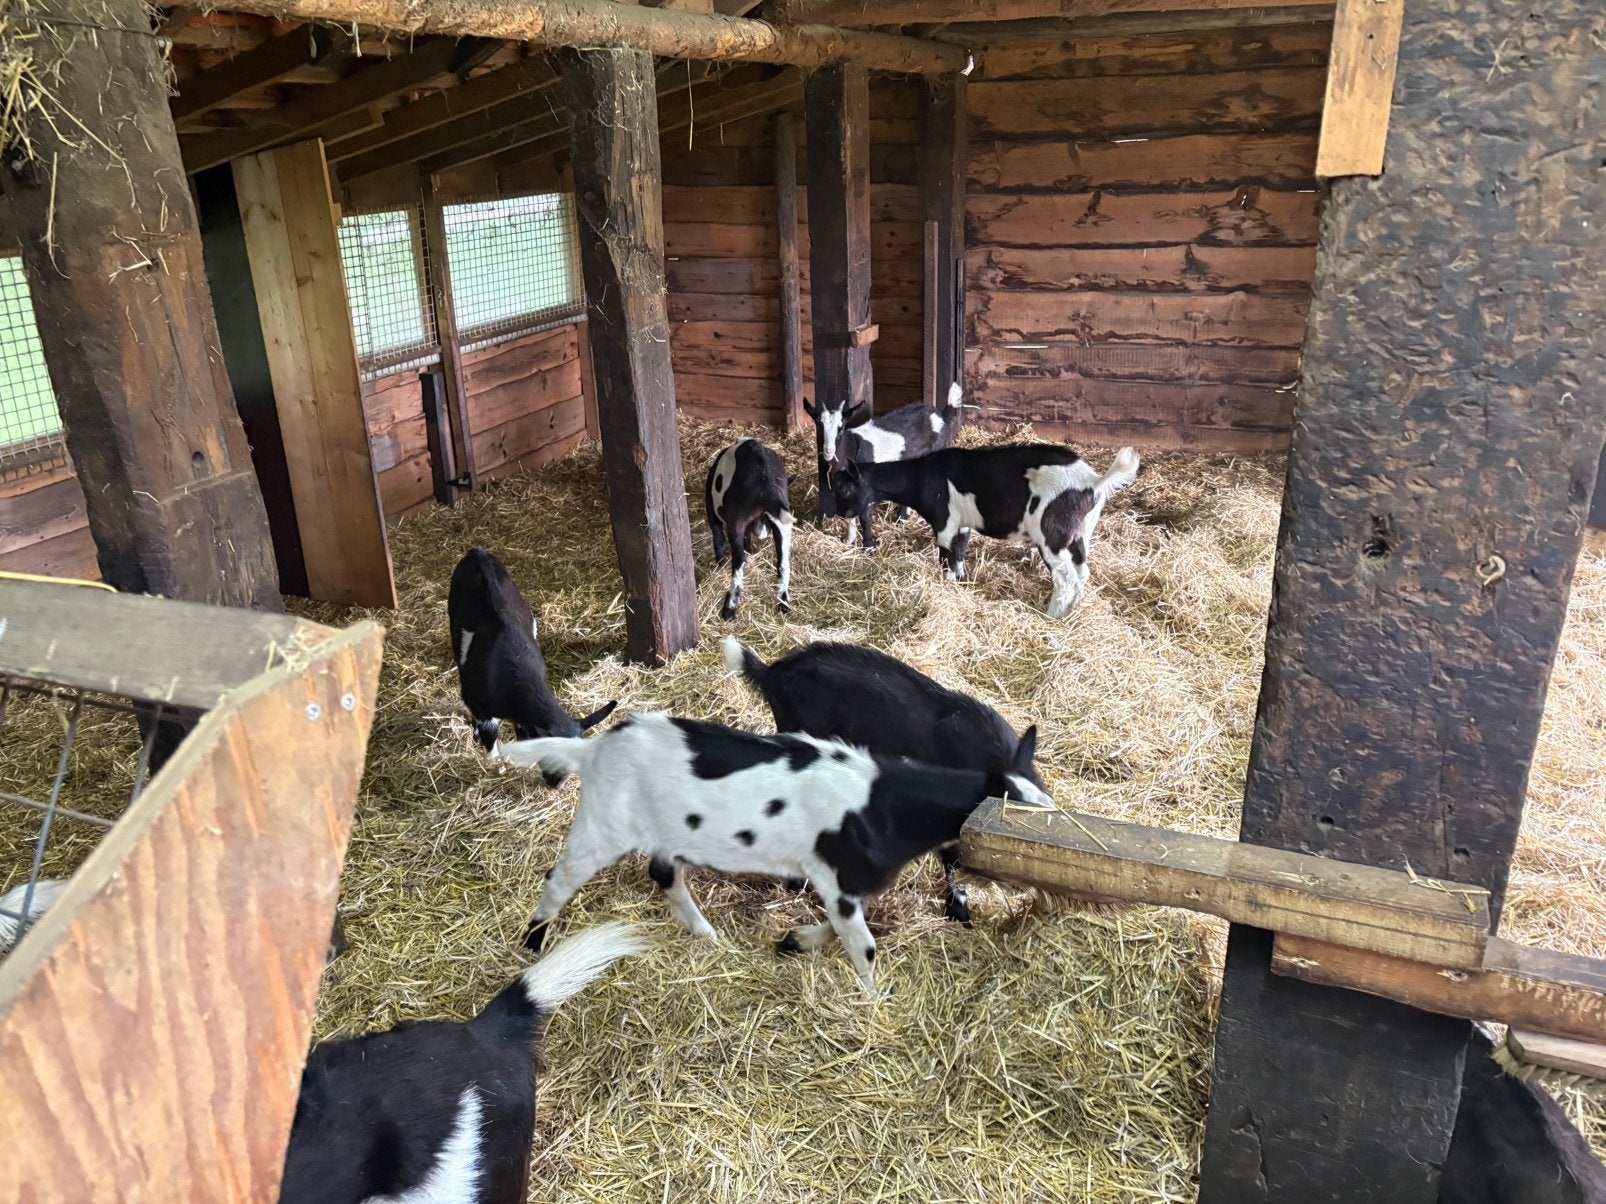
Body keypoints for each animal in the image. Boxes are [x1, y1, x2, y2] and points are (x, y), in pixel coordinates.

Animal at [499, 712, 1051, 993]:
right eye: (1013, 813)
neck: (881, 804)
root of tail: (592, 749)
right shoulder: (837, 877)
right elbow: (863, 944)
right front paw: (873, 1005)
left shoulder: (849, 883)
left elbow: (843, 928)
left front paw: (795, 942)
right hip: (603, 826)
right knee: (559, 877)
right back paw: (534, 942)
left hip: (668, 834)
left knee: (665, 875)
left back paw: (706, 935)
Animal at [703, 438, 795, 620]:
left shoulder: (713, 511)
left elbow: (719, 541)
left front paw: (719, 565)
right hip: (782, 525)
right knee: (783, 563)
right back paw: (783, 603)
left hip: (736, 524)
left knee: (739, 562)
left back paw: (729, 610)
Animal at [806, 383, 964, 549]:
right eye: (819, 425)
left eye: (841, 427)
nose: (829, 451)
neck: (854, 446)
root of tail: (940, 415)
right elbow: (851, 514)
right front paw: (850, 541)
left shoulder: (866, 484)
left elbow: (865, 517)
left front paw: (869, 546)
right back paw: (902, 519)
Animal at [827, 443, 1140, 616]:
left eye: (844, 488)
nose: (840, 513)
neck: (922, 477)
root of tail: (1094, 482)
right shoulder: (963, 524)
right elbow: (960, 555)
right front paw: (963, 585)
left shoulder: (944, 522)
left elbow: (946, 559)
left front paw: (948, 588)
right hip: (1080, 534)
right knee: (1082, 572)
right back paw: (1072, 614)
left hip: (1052, 534)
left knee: (1065, 578)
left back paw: (1050, 617)